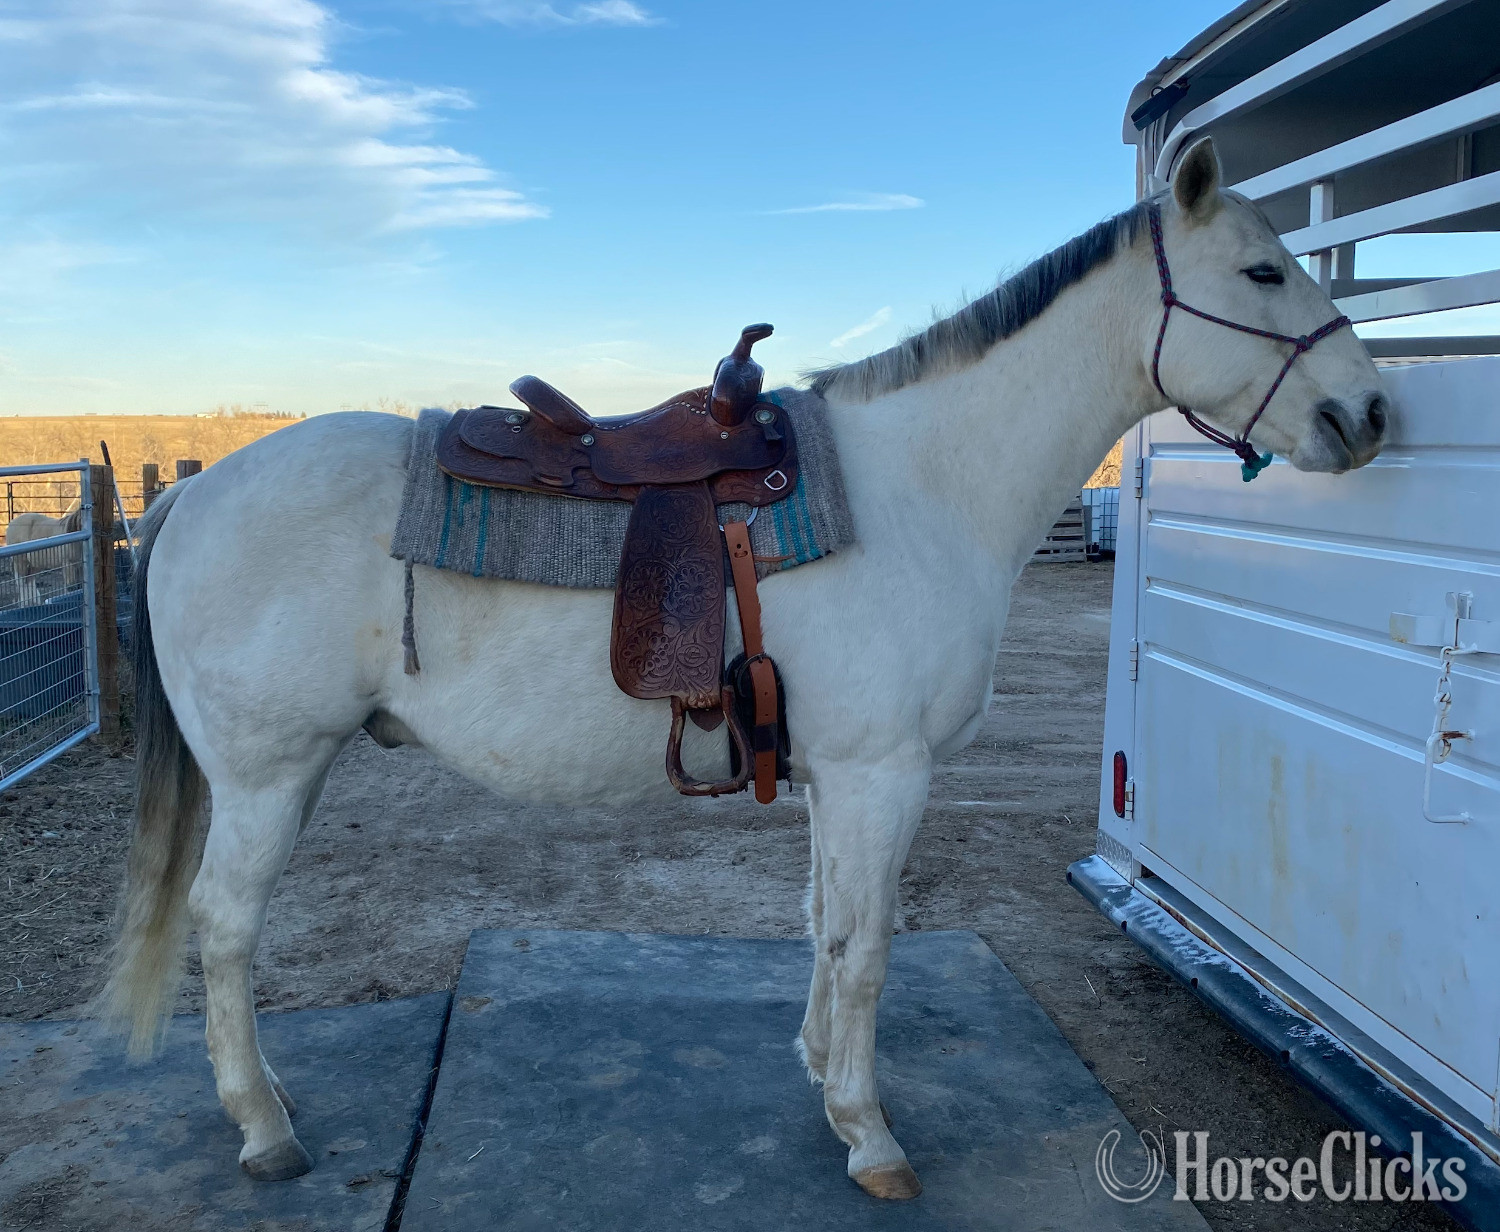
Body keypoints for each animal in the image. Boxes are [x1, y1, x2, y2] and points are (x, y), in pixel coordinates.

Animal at [103, 138, 1386, 1198]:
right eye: (1264, 271)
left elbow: (824, 922)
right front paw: (869, 1132)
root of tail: (190, 493)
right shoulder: (884, 774)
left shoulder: (836, 773)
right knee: (225, 926)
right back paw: (263, 1126)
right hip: (268, 774)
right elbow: (866, 951)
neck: (923, 485)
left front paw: (820, 1072)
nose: (1371, 411)